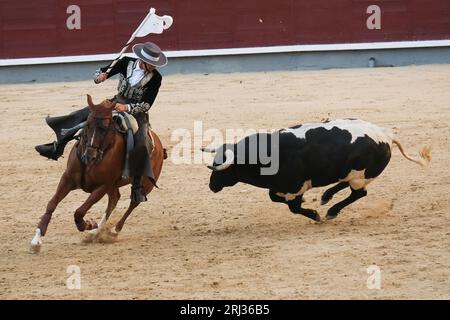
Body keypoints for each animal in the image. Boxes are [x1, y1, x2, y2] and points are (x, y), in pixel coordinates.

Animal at [30, 94, 166, 252]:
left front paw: (89, 224)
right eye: (87, 124)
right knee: (114, 199)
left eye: (106, 127)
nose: (89, 156)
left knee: (134, 202)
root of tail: (159, 145)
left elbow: (79, 211)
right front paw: (36, 240)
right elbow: (52, 204)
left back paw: (113, 231)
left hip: (146, 183)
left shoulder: (102, 186)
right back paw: (96, 232)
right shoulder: (67, 178)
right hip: (114, 186)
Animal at [202, 119, 430, 221]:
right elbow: (275, 197)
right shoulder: (284, 188)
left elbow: (293, 207)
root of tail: (385, 134)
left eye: (221, 169)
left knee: (359, 193)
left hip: (361, 175)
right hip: (350, 173)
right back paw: (326, 196)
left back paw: (330, 211)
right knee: (345, 185)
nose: (211, 186)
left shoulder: (293, 188)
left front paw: (315, 215)